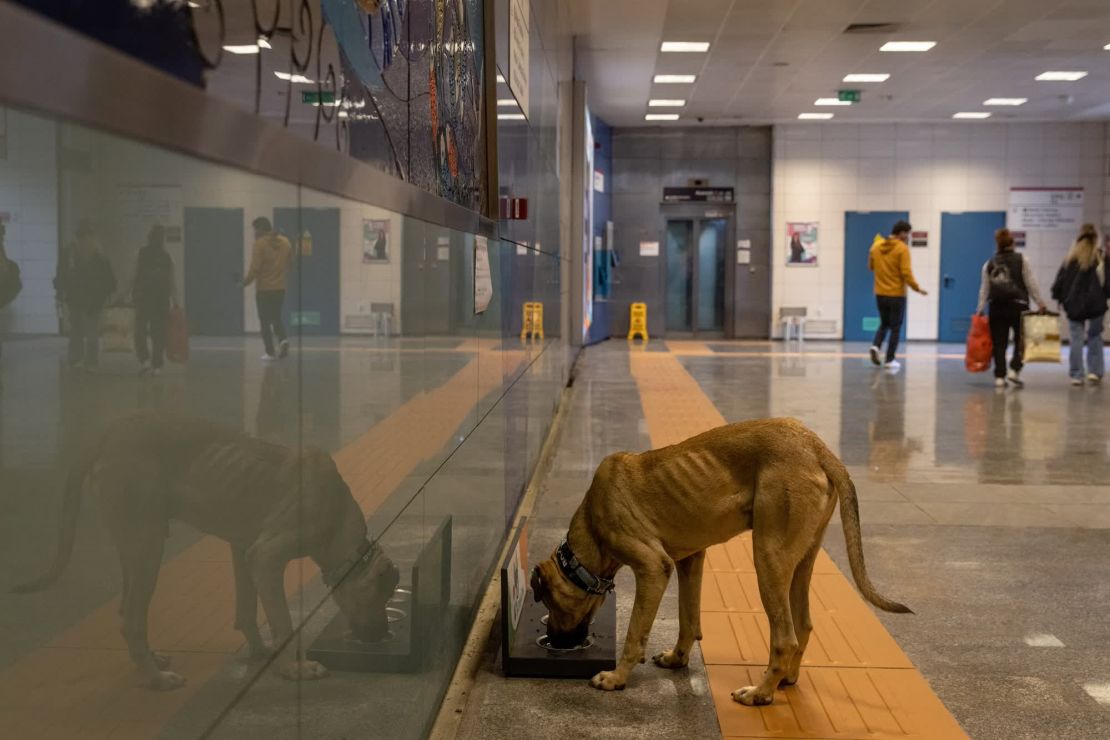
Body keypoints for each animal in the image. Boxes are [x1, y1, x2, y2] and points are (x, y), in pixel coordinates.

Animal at [11, 414, 399, 692]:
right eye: (380, 595)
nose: (383, 634)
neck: (336, 513)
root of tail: (106, 435)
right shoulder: (266, 557)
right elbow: (283, 622)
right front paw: (294, 668)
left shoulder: (243, 550)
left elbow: (246, 611)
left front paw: (261, 651)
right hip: (148, 545)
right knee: (131, 620)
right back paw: (156, 680)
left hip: (134, 546)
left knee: (126, 611)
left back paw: (152, 661)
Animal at [530, 419, 910, 705]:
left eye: (549, 603)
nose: (555, 642)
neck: (592, 525)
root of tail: (817, 447)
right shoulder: (690, 560)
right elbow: (688, 619)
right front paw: (677, 659)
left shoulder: (653, 567)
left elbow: (635, 632)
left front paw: (616, 678)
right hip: (802, 560)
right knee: (802, 625)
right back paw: (786, 679)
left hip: (768, 557)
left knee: (784, 637)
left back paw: (760, 693)